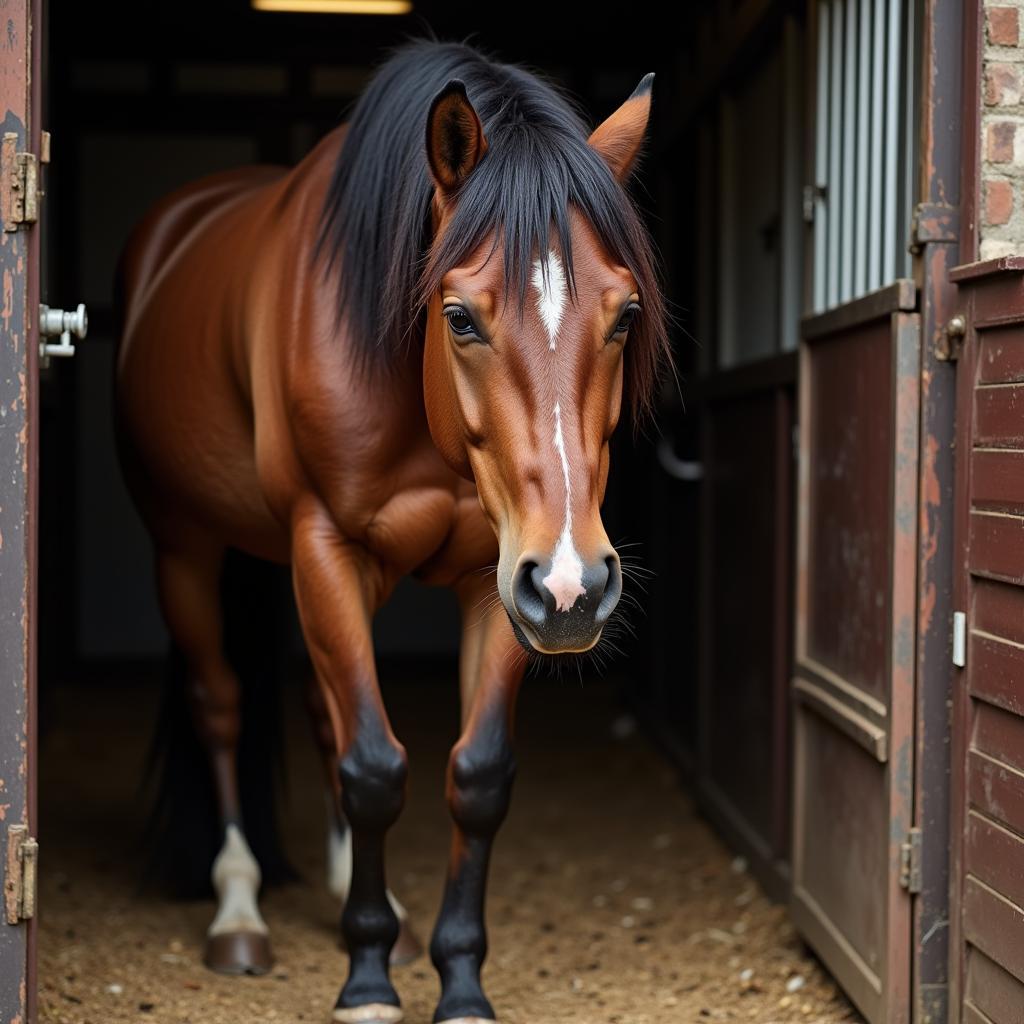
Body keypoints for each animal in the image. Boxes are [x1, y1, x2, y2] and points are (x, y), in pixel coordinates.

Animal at [116, 39, 667, 1024]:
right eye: (460, 316)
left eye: (627, 314)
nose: (580, 583)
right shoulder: (329, 549)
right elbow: (374, 768)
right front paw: (365, 981)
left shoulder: (505, 582)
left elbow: (474, 775)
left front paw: (458, 981)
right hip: (186, 548)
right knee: (221, 706)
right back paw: (238, 910)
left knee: (318, 714)